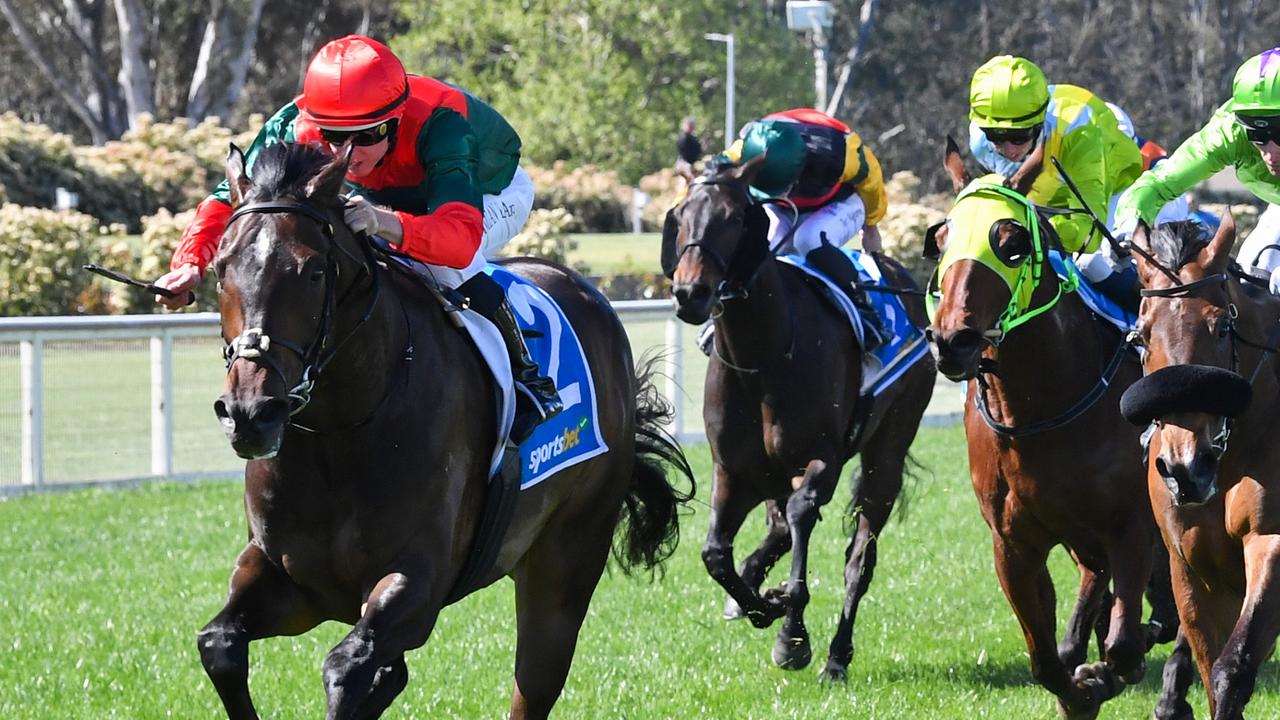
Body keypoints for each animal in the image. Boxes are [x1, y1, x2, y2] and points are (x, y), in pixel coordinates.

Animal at [197, 141, 691, 717]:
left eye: (313, 272)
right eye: (221, 268)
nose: (251, 412)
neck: (340, 432)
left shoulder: (418, 584)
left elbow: (345, 667)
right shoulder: (291, 580)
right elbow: (220, 644)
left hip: (567, 556)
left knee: (536, 678)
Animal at [665, 154, 936, 676]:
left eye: (733, 218)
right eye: (681, 215)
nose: (691, 293)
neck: (761, 356)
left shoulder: (819, 460)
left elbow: (801, 514)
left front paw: (791, 633)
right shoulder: (732, 470)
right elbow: (715, 554)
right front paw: (760, 603)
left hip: (889, 449)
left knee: (858, 559)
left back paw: (836, 656)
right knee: (774, 529)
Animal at [921, 137, 1177, 712]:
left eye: (1010, 242)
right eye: (942, 240)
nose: (952, 340)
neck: (1042, 409)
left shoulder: (1131, 525)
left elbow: (1124, 646)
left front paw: (1102, 673)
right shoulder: (1014, 544)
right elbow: (1043, 661)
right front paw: (1080, 688)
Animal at [1121, 215, 1280, 712]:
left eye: (1222, 327)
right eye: (1141, 334)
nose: (1186, 468)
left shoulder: (1271, 543)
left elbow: (1234, 667)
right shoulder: (1191, 569)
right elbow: (1210, 670)